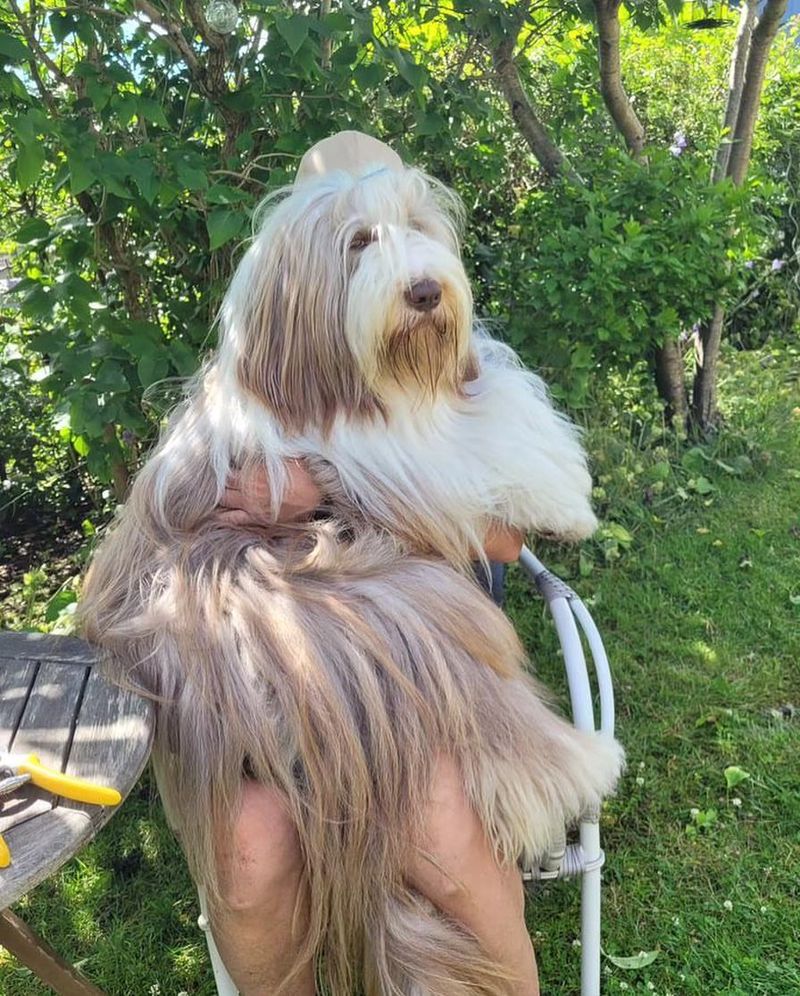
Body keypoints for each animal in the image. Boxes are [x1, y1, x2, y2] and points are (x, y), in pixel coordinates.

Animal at [81, 132, 620, 996]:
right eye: (360, 242)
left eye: (420, 229)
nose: (427, 292)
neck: (379, 380)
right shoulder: (370, 456)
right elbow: (467, 453)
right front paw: (561, 491)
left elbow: (501, 400)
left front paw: (562, 488)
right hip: (369, 613)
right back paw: (570, 771)